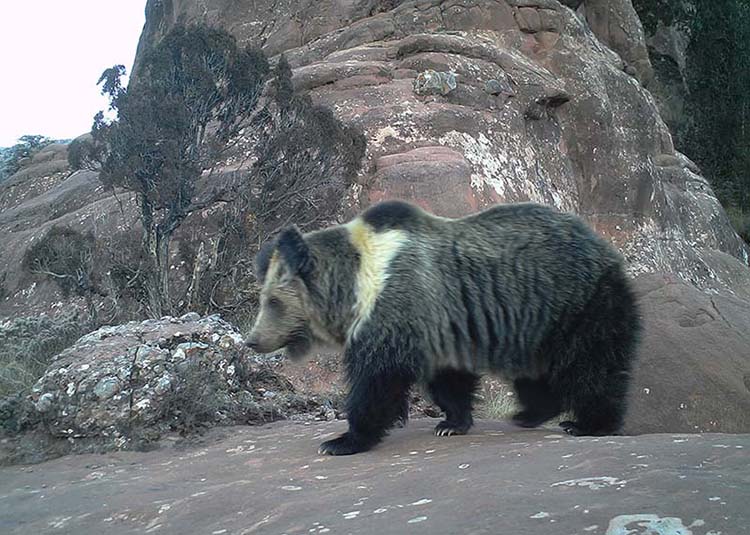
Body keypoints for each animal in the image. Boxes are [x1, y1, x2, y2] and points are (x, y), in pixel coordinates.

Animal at [245, 200, 640, 456]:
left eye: (274, 302)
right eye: (264, 298)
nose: (253, 341)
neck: (356, 288)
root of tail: (601, 243)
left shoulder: (396, 307)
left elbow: (377, 380)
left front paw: (342, 440)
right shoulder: (439, 326)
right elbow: (448, 378)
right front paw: (452, 422)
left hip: (578, 302)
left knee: (593, 364)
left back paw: (589, 423)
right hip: (536, 322)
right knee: (535, 373)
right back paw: (530, 413)